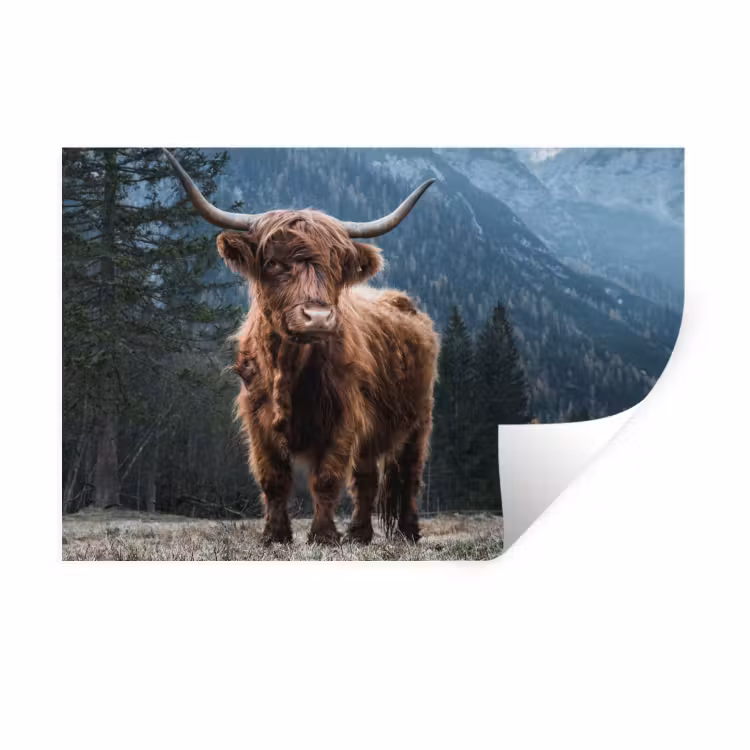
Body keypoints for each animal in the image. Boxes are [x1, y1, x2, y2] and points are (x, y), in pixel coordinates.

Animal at [163, 149, 439, 545]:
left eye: (338, 267)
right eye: (274, 263)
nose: (318, 317)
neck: (288, 367)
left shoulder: (343, 417)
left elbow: (326, 479)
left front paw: (323, 536)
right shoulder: (257, 420)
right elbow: (273, 479)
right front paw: (274, 535)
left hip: (419, 419)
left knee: (410, 475)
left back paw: (408, 532)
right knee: (367, 479)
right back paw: (359, 534)